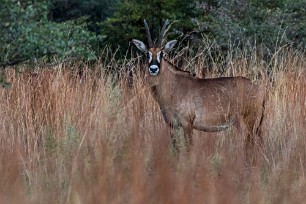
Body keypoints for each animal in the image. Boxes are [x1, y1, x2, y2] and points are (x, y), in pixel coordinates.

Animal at [133, 19, 266, 159]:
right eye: (146, 53)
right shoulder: (172, 125)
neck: (173, 87)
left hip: (247, 122)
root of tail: (259, 90)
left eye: (162, 53)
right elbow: (175, 151)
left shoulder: (187, 123)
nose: (153, 69)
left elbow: (189, 149)